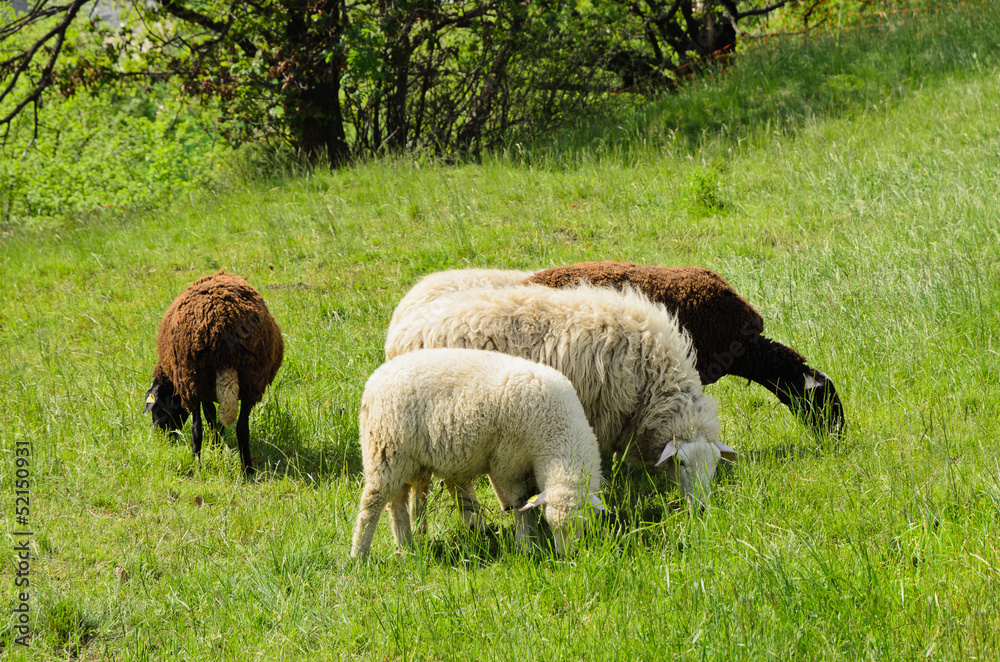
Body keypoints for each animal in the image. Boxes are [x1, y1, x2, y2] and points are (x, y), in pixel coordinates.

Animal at [144, 270, 284, 476]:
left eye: (158, 408)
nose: (162, 437)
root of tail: (222, 327)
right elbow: (217, 420)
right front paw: (218, 444)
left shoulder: (203, 393)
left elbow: (209, 418)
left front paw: (215, 446)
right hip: (252, 380)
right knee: (242, 428)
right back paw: (247, 469)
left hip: (191, 381)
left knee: (196, 429)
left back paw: (197, 466)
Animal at [351, 347, 603, 558]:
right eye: (553, 525)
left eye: (583, 525)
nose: (568, 556)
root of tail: (375, 378)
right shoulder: (507, 462)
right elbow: (520, 501)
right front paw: (526, 543)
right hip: (385, 451)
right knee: (371, 504)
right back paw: (359, 554)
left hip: (408, 461)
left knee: (397, 504)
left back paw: (406, 546)